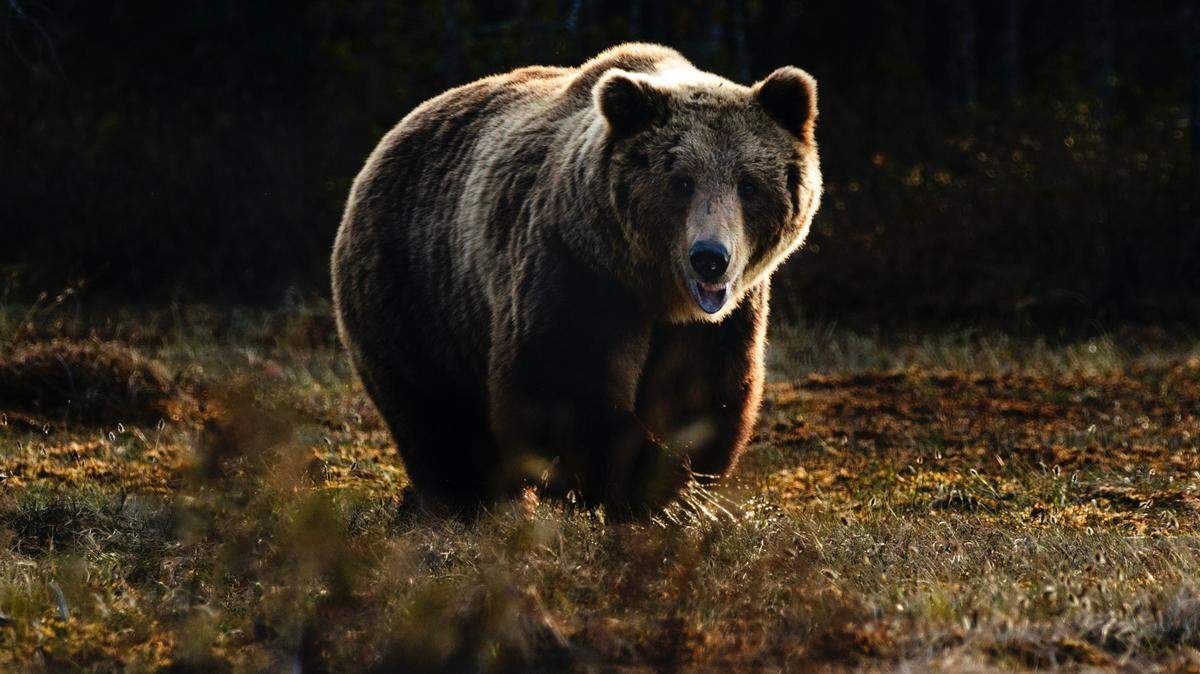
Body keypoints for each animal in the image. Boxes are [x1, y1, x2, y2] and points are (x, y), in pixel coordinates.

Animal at [331, 43, 822, 514]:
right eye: (681, 182)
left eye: (748, 184)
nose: (710, 258)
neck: (653, 288)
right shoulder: (574, 269)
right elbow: (562, 386)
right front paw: (640, 485)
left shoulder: (722, 318)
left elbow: (701, 393)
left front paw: (676, 489)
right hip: (414, 289)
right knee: (436, 415)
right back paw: (465, 502)